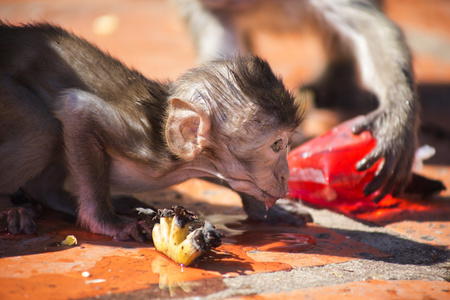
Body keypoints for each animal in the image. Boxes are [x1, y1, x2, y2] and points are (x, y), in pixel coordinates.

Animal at [0, 22, 304, 240]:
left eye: (290, 143)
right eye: (277, 145)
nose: (285, 175)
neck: (179, 162)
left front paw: (268, 212)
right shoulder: (140, 144)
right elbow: (77, 109)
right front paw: (107, 223)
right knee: (43, 129)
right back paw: (14, 207)